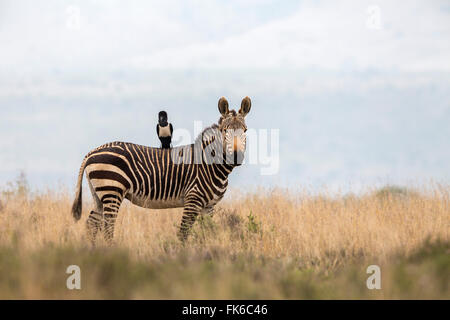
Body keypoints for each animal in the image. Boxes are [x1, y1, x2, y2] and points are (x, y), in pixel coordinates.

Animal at [72, 97, 251, 242]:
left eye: (245, 130)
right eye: (225, 131)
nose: (236, 156)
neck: (210, 164)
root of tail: (92, 152)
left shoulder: (209, 206)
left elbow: (208, 232)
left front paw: (208, 249)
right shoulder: (193, 200)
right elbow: (183, 233)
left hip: (99, 195)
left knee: (92, 223)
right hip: (112, 190)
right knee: (108, 227)